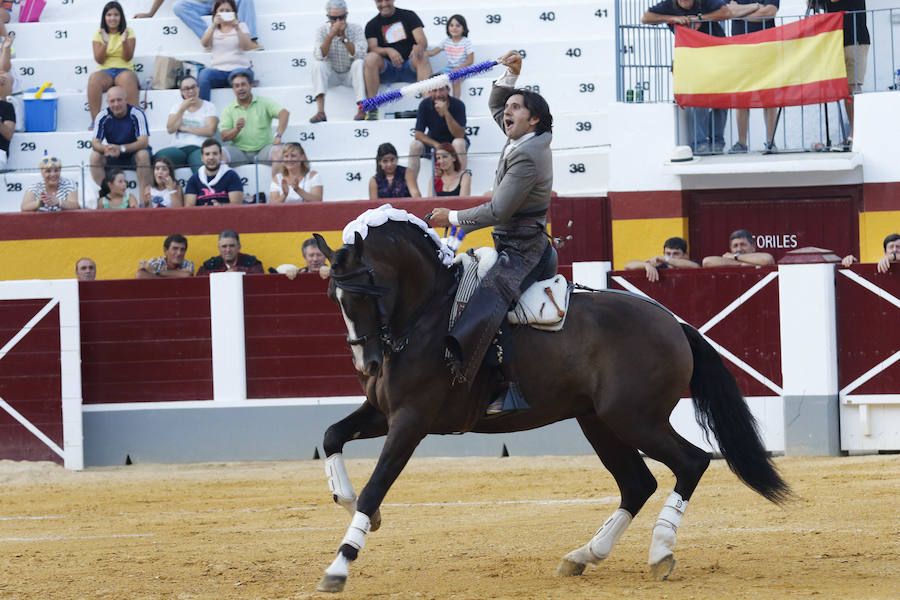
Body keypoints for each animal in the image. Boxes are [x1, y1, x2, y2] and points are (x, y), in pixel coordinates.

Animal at [314, 209, 788, 592]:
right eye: (335, 296)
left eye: (368, 291)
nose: (367, 364)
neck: (426, 315)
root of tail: (674, 323)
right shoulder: (384, 413)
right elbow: (333, 435)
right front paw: (350, 503)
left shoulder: (412, 420)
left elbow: (376, 486)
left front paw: (339, 565)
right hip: (599, 422)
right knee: (638, 483)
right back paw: (584, 555)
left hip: (636, 419)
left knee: (691, 462)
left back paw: (660, 551)